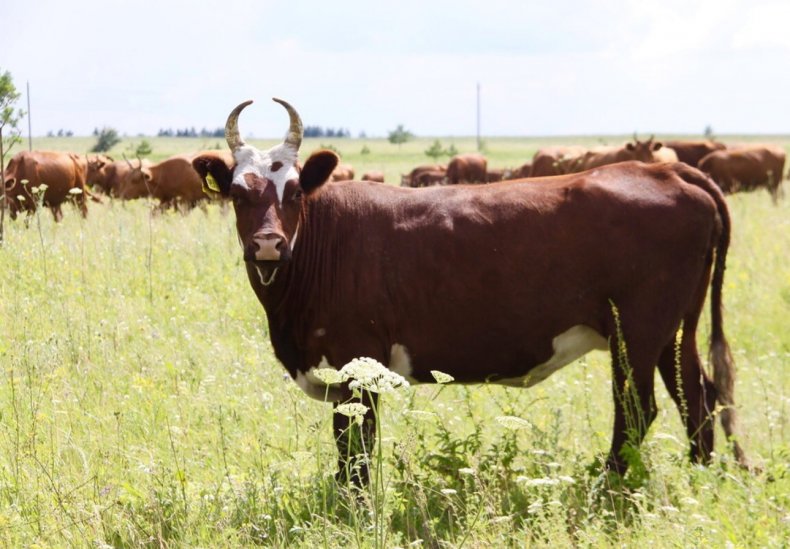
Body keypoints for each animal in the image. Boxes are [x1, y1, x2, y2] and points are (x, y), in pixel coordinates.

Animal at [195, 98, 752, 484]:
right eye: (239, 195)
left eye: (292, 193)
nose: (268, 244)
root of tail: (665, 168)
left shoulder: (358, 366)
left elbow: (355, 450)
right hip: (672, 331)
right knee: (697, 398)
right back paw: (697, 479)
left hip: (637, 330)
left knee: (638, 408)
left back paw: (607, 485)